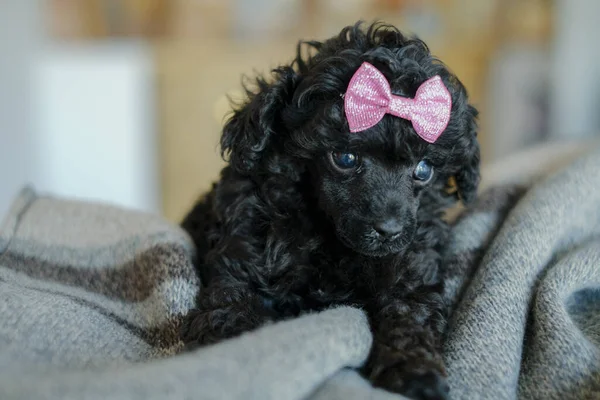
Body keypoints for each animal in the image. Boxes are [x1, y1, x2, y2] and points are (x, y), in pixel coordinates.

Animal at [180, 21, 480, 400]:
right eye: (345, 158)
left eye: (423, 170)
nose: (389, 230)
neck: (330, 237)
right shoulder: (245, 238)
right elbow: (232, 294)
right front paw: (229, 340)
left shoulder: (414, 258)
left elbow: (412, 312)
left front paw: (416, 372)